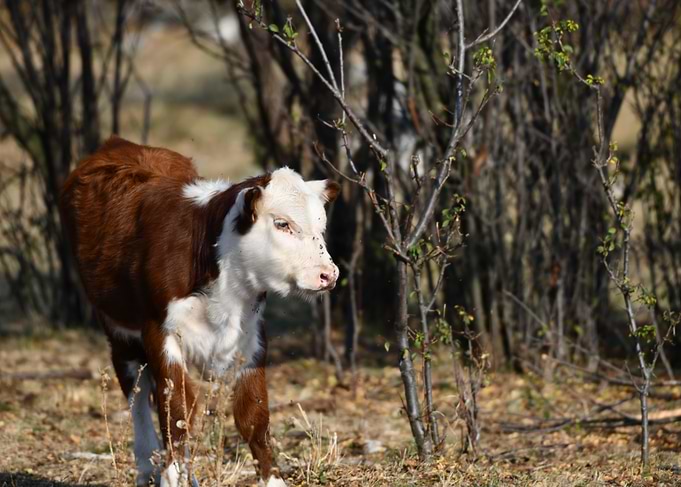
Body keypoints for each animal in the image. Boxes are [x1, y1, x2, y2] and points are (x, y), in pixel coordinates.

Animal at [59, 136, 340, 486]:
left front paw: (272, 479)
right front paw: (171, 474)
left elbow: (253, 416)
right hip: (117, 329)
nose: (329, 274)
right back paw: (147, 467)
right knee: (136, 394)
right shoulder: (159, 333)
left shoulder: (251, 337)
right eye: (282, 223)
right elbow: (178, 410)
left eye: (322, 226)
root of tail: (118, 144)